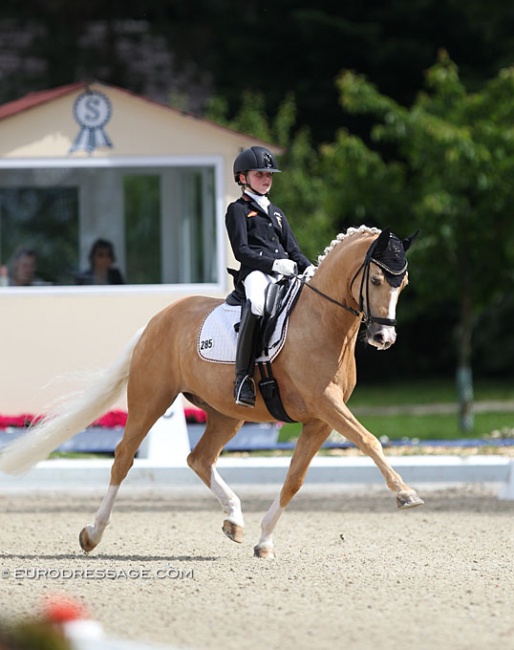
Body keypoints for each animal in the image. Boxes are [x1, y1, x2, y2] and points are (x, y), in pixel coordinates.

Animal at [0, 224, 420, 556]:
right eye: (376, 281)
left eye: (403, 283)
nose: (384, 338)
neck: (323, 322)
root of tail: (156, 321)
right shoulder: (326, 405)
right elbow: (369, 440)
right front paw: (405, 494)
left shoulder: (319, 420)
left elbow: (294, 479)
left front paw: (265, 541)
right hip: (151, 399)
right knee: (123, 458)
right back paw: (93, 533)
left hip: (227, 414)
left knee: (199, 458)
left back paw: (234, 520)